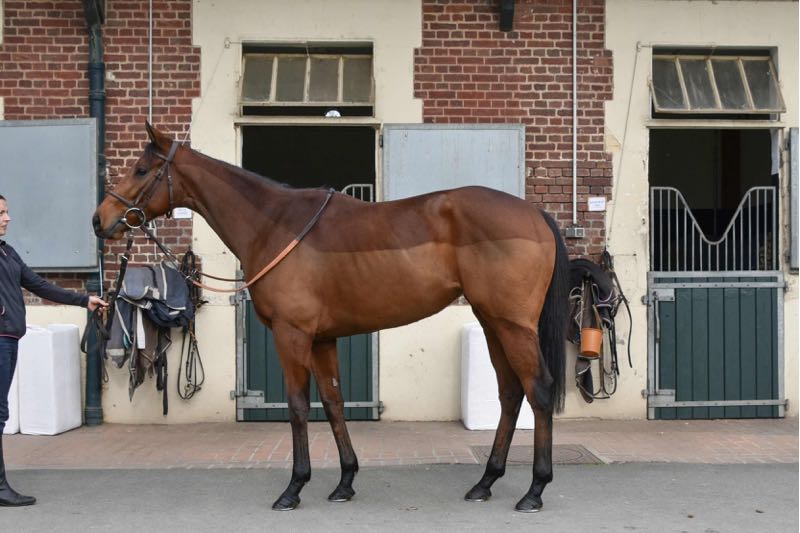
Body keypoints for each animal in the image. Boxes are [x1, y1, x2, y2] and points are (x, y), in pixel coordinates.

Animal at [92, 123, 570, 513]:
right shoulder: (322, 340)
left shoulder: (292, 336)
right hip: (493, 324)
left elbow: (299, 406)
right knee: (510, 393)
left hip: (512, 326)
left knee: (538, 390)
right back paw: (485, 481)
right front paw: (344, 482)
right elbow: (335, 403)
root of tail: (534, 214)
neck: (274, 224)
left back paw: (535, 490)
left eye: (140, 169)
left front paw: (293, 488)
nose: (100, 220)